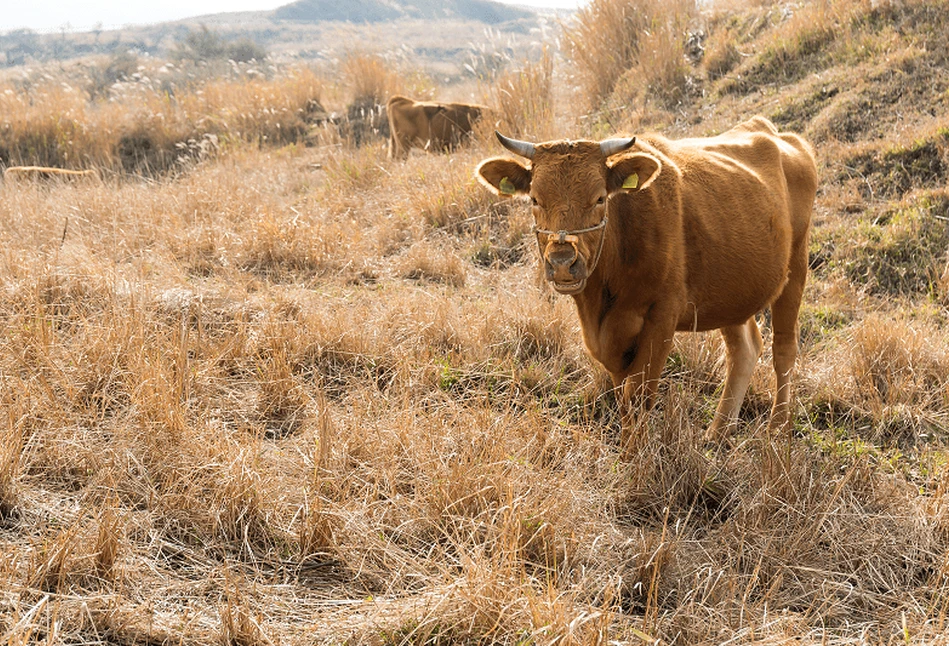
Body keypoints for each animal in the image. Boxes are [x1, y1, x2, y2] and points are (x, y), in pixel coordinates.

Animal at [478, 116, 820, 448]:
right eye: (535, 199)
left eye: (599, 198)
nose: (563, 261)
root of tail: (775, 134)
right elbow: (623, 397)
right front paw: (628, 450)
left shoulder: (662, 317)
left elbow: (639, 395)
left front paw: (636, 457)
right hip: (732, 290)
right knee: (744, 348)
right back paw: (719, 431)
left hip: (796, 268)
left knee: (783, 350)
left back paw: (778, 428)